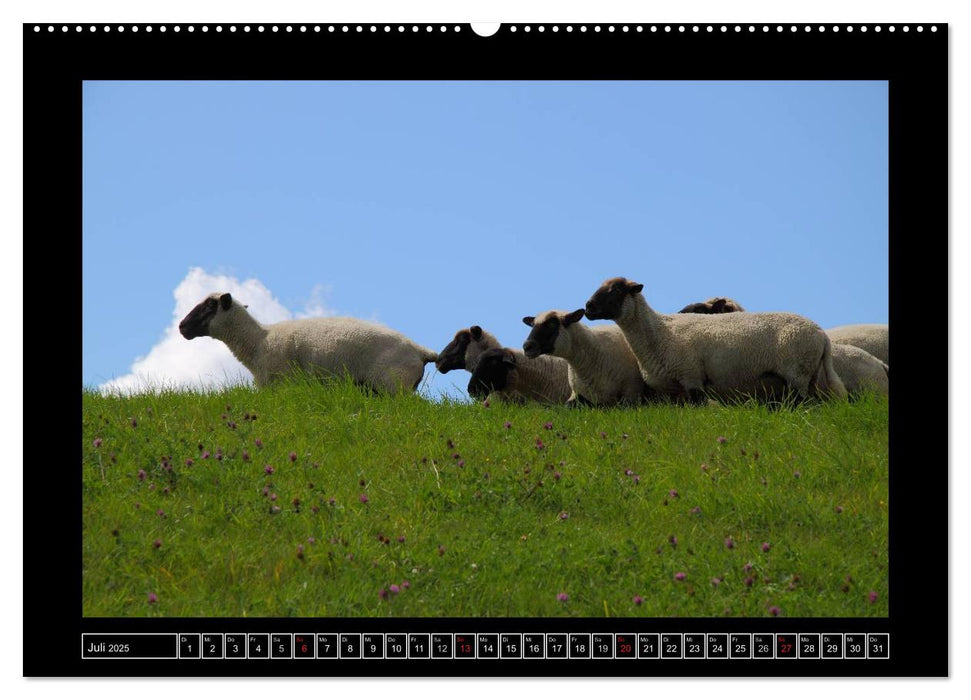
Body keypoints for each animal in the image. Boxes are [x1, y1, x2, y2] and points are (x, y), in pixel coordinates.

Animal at [180, 292, 438, 394]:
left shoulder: (281, 382)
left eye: (209, 306)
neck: (258, 341)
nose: (182, 327)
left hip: (393, 385)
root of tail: (420, 350)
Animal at [584, 276, 852, 402]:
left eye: (616, 290)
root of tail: (821, 334)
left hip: (797, 374)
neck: (660, 331)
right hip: (809, 375)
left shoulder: (692, 378)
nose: (587, 307)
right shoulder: (676, 390)